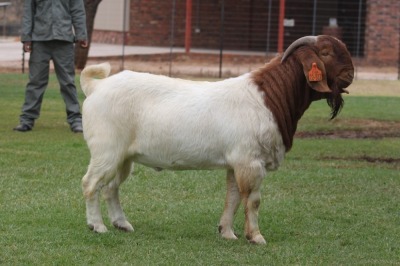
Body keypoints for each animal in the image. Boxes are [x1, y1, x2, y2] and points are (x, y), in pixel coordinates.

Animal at [79, 35, 354, 245]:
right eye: (326, 52)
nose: (350, 74)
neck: (269, 98)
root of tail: (95, 87)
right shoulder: (250, 161)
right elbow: (252, 200)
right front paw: (256, 237)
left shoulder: (236, 163)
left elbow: (232, 197)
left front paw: (228, 233)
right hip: (107, 150)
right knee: (91, 184)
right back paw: (97, 226)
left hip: (123, 157)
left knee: (111, 187)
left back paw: (122, 224)